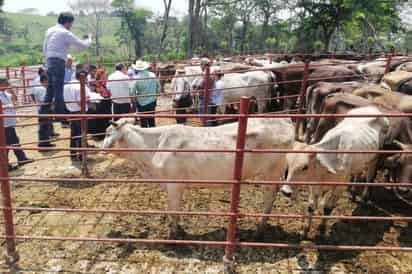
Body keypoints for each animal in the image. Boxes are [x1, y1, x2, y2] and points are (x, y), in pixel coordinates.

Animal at [104, 117, 296, 238]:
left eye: (107, 133)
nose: (102, 146)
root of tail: (284, 120)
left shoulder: (173, 184)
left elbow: (173, 211)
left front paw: (173, 235)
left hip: (270, 173)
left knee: (269, 199)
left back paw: (258, 231)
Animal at [280, 106, 390, 237]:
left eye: (305, 167)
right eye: (288, 165)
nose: (285, 191)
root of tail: (372, 108)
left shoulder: (340, 186)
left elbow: (327, 208)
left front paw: (322, 230)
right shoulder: (314, 185)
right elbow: (311, 206)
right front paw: (306, 230)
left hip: (374, 159)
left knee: (369, 177)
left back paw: (364, 199)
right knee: (358, 172)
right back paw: (353, 193)